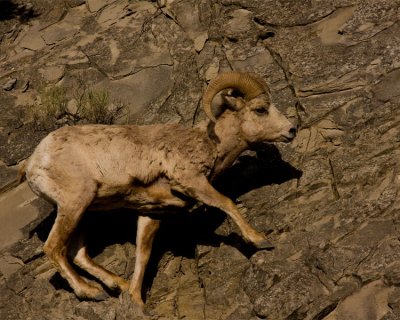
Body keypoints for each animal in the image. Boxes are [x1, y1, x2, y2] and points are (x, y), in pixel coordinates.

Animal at [22, 72, 296, 308]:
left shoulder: (151, 214)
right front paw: (260, 240)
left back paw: (117, 285)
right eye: (260, 109)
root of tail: (34, 163)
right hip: (74, 204)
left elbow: (143, 255)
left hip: (86, 212)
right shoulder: (192, 182)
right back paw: (90, 292)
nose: (292, 130)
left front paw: (137, 300)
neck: (209, 143)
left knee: (77, 253)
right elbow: (227, 202)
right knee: (54, 248)